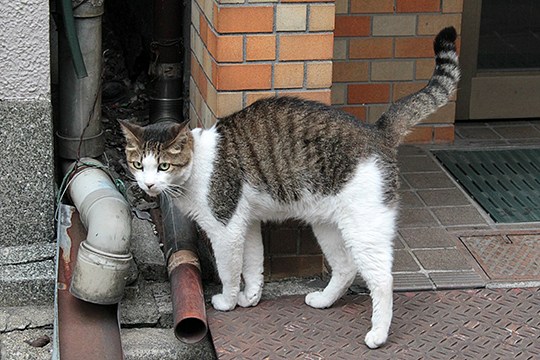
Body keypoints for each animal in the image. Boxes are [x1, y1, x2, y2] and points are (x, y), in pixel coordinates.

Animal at [121, 26, 460, 348]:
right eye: (138, 165)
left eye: (163, 166)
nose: (147, 184)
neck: (198, 166)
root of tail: (377, 132)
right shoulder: (246, 223)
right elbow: (253, 263)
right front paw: (251, 297)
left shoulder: (225, 230)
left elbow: (229, 271)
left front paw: (228, 302)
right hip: (327, 226)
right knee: (346, 267)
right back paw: (324, 300)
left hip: (365, 230)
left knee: (382, 280)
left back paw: (378, 334)